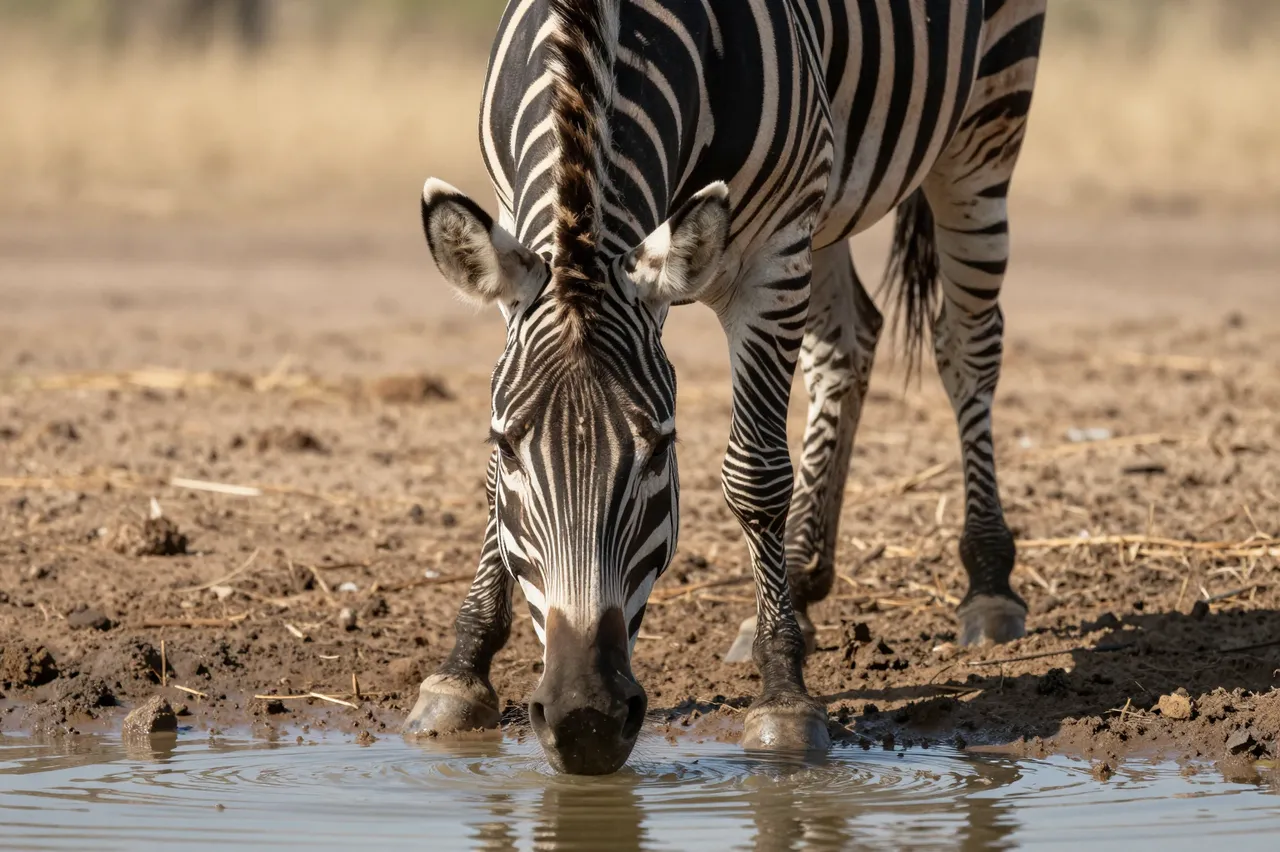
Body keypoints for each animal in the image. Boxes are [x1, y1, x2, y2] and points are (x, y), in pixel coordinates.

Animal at [405, 0, 1046, 774]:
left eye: (660, 452)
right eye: (505, 446)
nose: (585, 721)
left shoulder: (773, 252)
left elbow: (756, 476)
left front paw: (783, 699)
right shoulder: (516, 231)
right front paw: (461, 669)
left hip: (986, 123)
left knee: (967, 346)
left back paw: (987, 582)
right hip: (830, 205)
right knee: (850, 340)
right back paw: (801, 578)